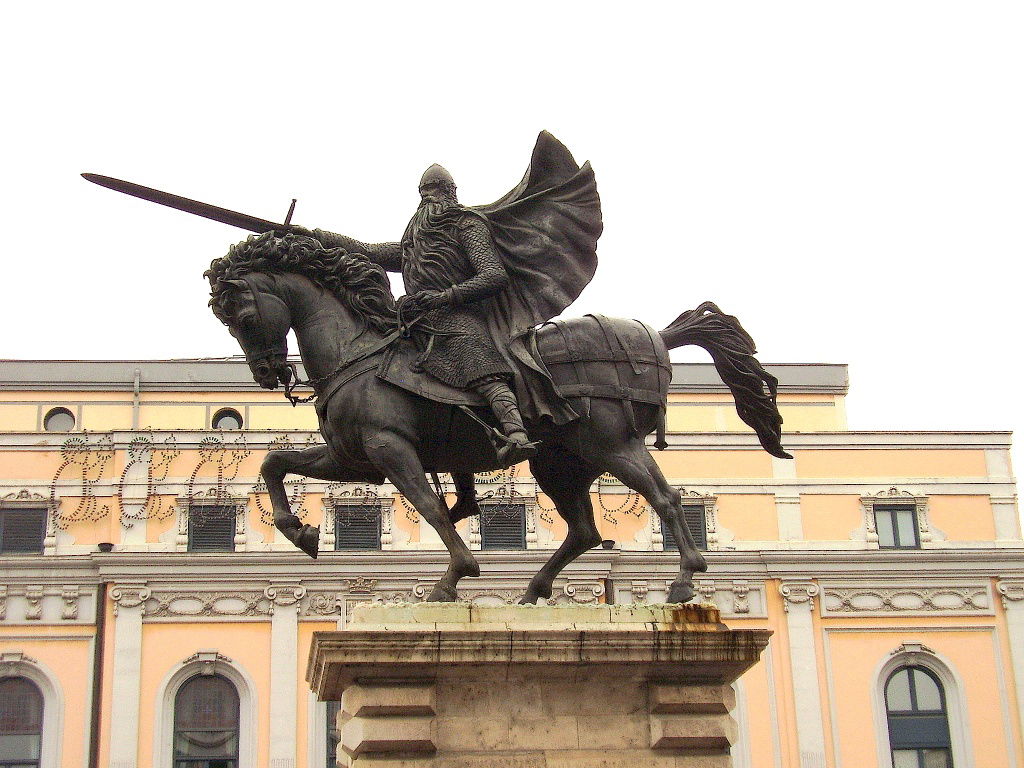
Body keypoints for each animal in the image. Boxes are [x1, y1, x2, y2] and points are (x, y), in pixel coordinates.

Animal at [203, 231, 786, 606]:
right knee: (583, 531)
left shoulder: (390, 448)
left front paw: (454, 577)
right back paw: (533, 590)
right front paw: (299, 532)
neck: (360, 350)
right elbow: (273, 463)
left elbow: (433, 511)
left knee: (664, 500)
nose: (266, 372)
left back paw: (686, 578)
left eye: (243, 314)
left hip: (613, 445)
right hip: (560, 465)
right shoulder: (355, 457)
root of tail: (657, 337)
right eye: (228, 321)